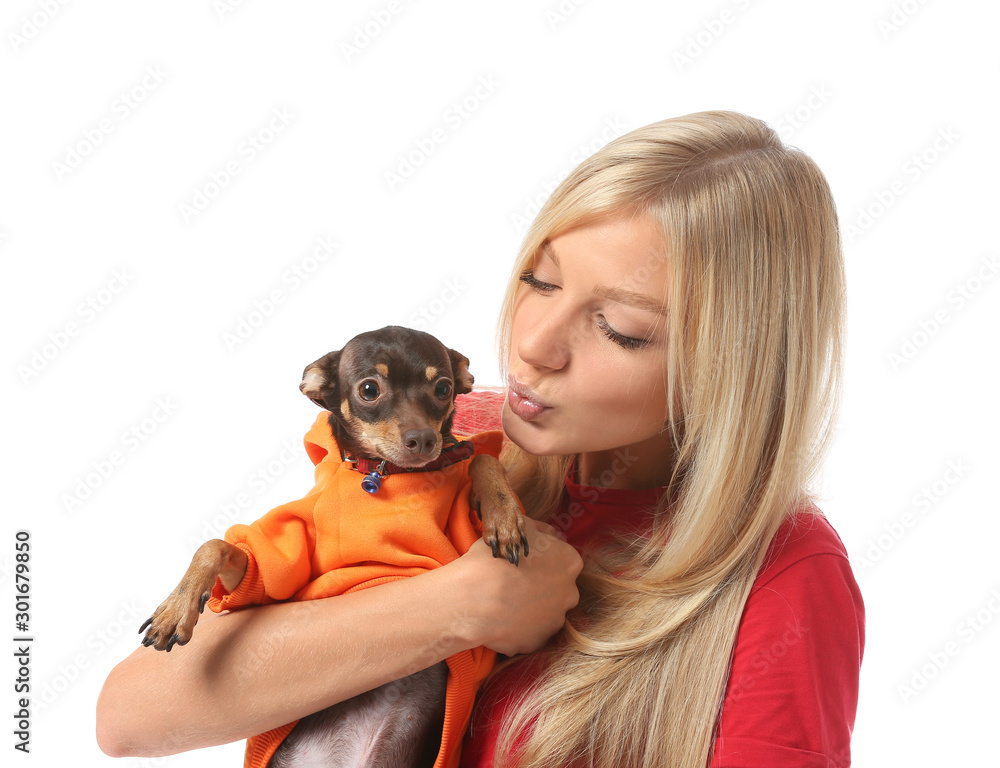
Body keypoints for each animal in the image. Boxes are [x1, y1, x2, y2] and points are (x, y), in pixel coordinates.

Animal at [142, 326, 532, 768]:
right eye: (369, 389)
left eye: (443, 388)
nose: (423, 439)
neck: (387, 475)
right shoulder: (268, 577)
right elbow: (214, 545)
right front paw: (174, 610)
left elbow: (481, 459)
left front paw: (503, 514)